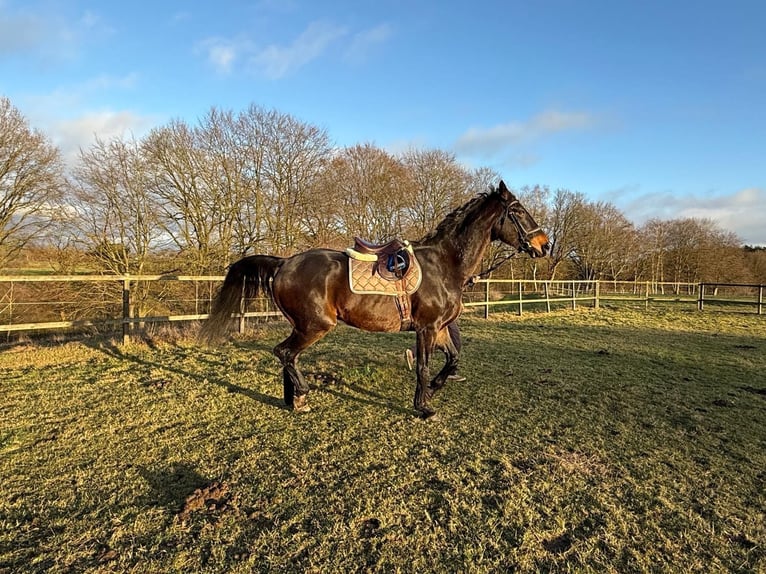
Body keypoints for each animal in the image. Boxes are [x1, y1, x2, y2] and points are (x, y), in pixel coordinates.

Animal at [202, 182, 552, 420]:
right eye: (518, 211)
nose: (544, 244)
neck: (444, 263)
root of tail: (284, 263)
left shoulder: (439, 329)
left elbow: (452, 359)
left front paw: (434, 389)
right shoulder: (426, 329)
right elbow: (423, 366)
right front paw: (423, 406)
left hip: (303, 326)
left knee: (289, 356)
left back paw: (293, 399)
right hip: (315, 325)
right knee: (284, 353)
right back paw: (300, 395)